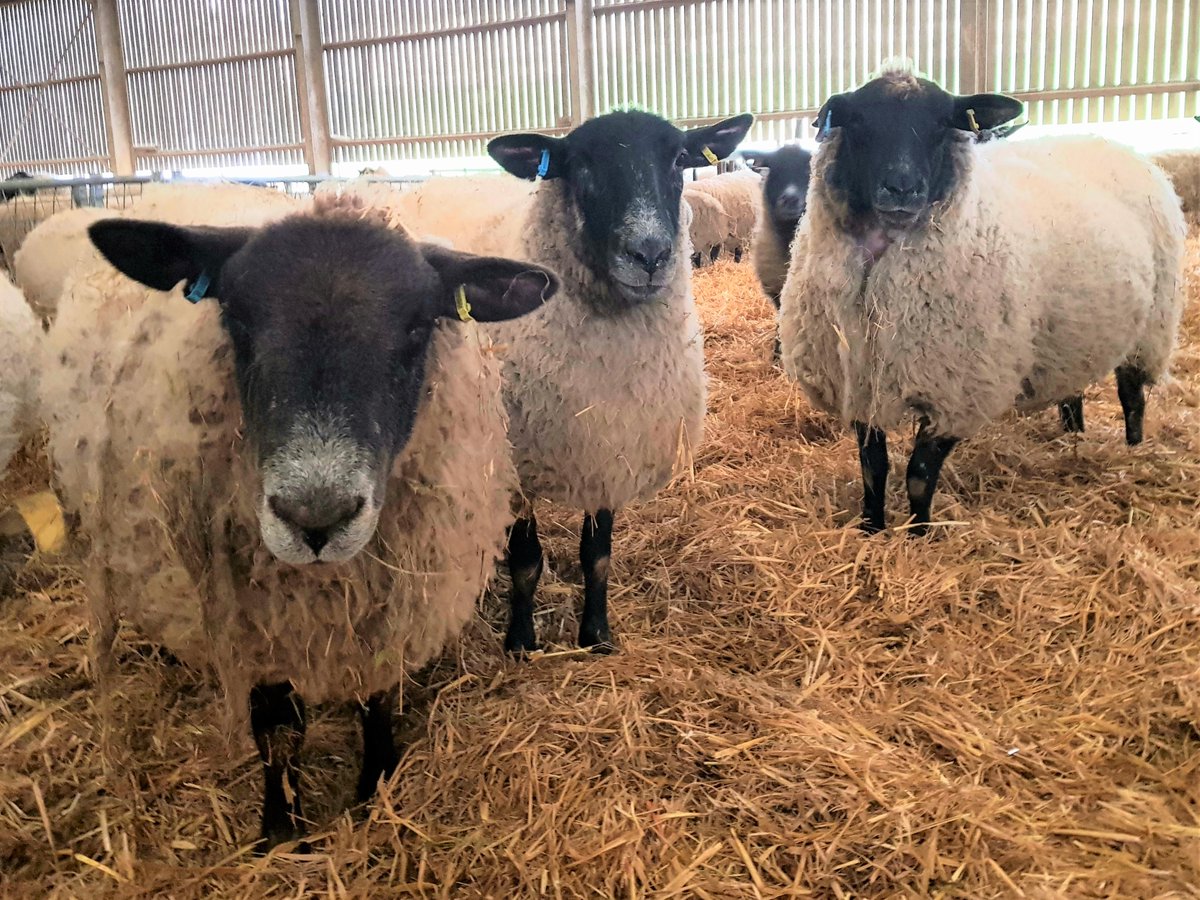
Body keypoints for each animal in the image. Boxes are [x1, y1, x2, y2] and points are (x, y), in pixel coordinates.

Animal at [40, 194, 559, 848]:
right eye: (235, 318)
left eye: (418, 327)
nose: (316, 518)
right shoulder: (255, 615)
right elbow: (276, 727)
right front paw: (280, 829)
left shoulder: (387, 602)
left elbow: (375, 696)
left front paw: (373, 787)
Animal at [779, 68, 1186, 535]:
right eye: (859, 120)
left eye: (942, 124)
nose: (902, 188)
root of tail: (1110, 142)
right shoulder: (860, 384)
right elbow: (873, 467)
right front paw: (871, 529)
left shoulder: (959, 391)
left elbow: (919, 475)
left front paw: (919, 535)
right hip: (1071, 335)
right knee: (1072, 393)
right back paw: (1074, 440)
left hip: (1151, 328)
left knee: (1133, 398)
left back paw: (1134, 452)